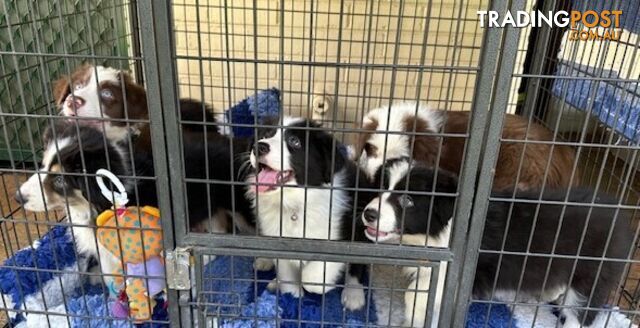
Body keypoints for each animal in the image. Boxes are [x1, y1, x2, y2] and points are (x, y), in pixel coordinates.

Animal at [245, 117, 376, 298]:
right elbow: (287, 276)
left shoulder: (341, 236)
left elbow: (313, 277)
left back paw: (353, 295)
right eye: (265, 135)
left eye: (294, 141)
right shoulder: (279, 240)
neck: (294, 202)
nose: (259, 147)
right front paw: (293, 295)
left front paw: (324, 285)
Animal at [350, 158, 632, 326]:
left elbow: (416, 296)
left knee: (579, 310)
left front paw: (415, 318)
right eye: (380, 189)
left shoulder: (455, 269)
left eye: (407, 200)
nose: (368, 214)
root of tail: (622, 216)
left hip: (593, 272)